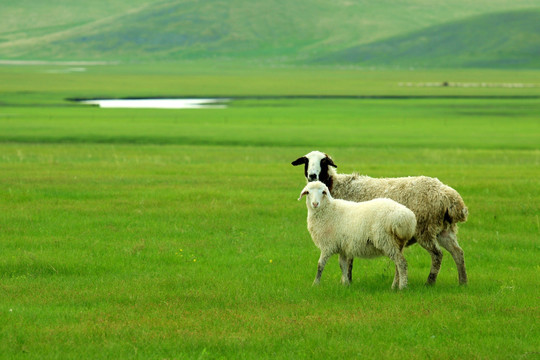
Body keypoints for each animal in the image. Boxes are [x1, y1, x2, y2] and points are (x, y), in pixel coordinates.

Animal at [292, 150, 468, 286]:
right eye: (306, 161)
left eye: (323, 161)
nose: (312, 175)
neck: (335, 187)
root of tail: (449, 196)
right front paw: (346, 282)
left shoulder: (348, 232)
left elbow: (348, 262)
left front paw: (347, 282)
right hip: (443, 230)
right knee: (458, 253)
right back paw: (463, 282)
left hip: (425, 229)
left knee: (437, 255)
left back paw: (429, 283)